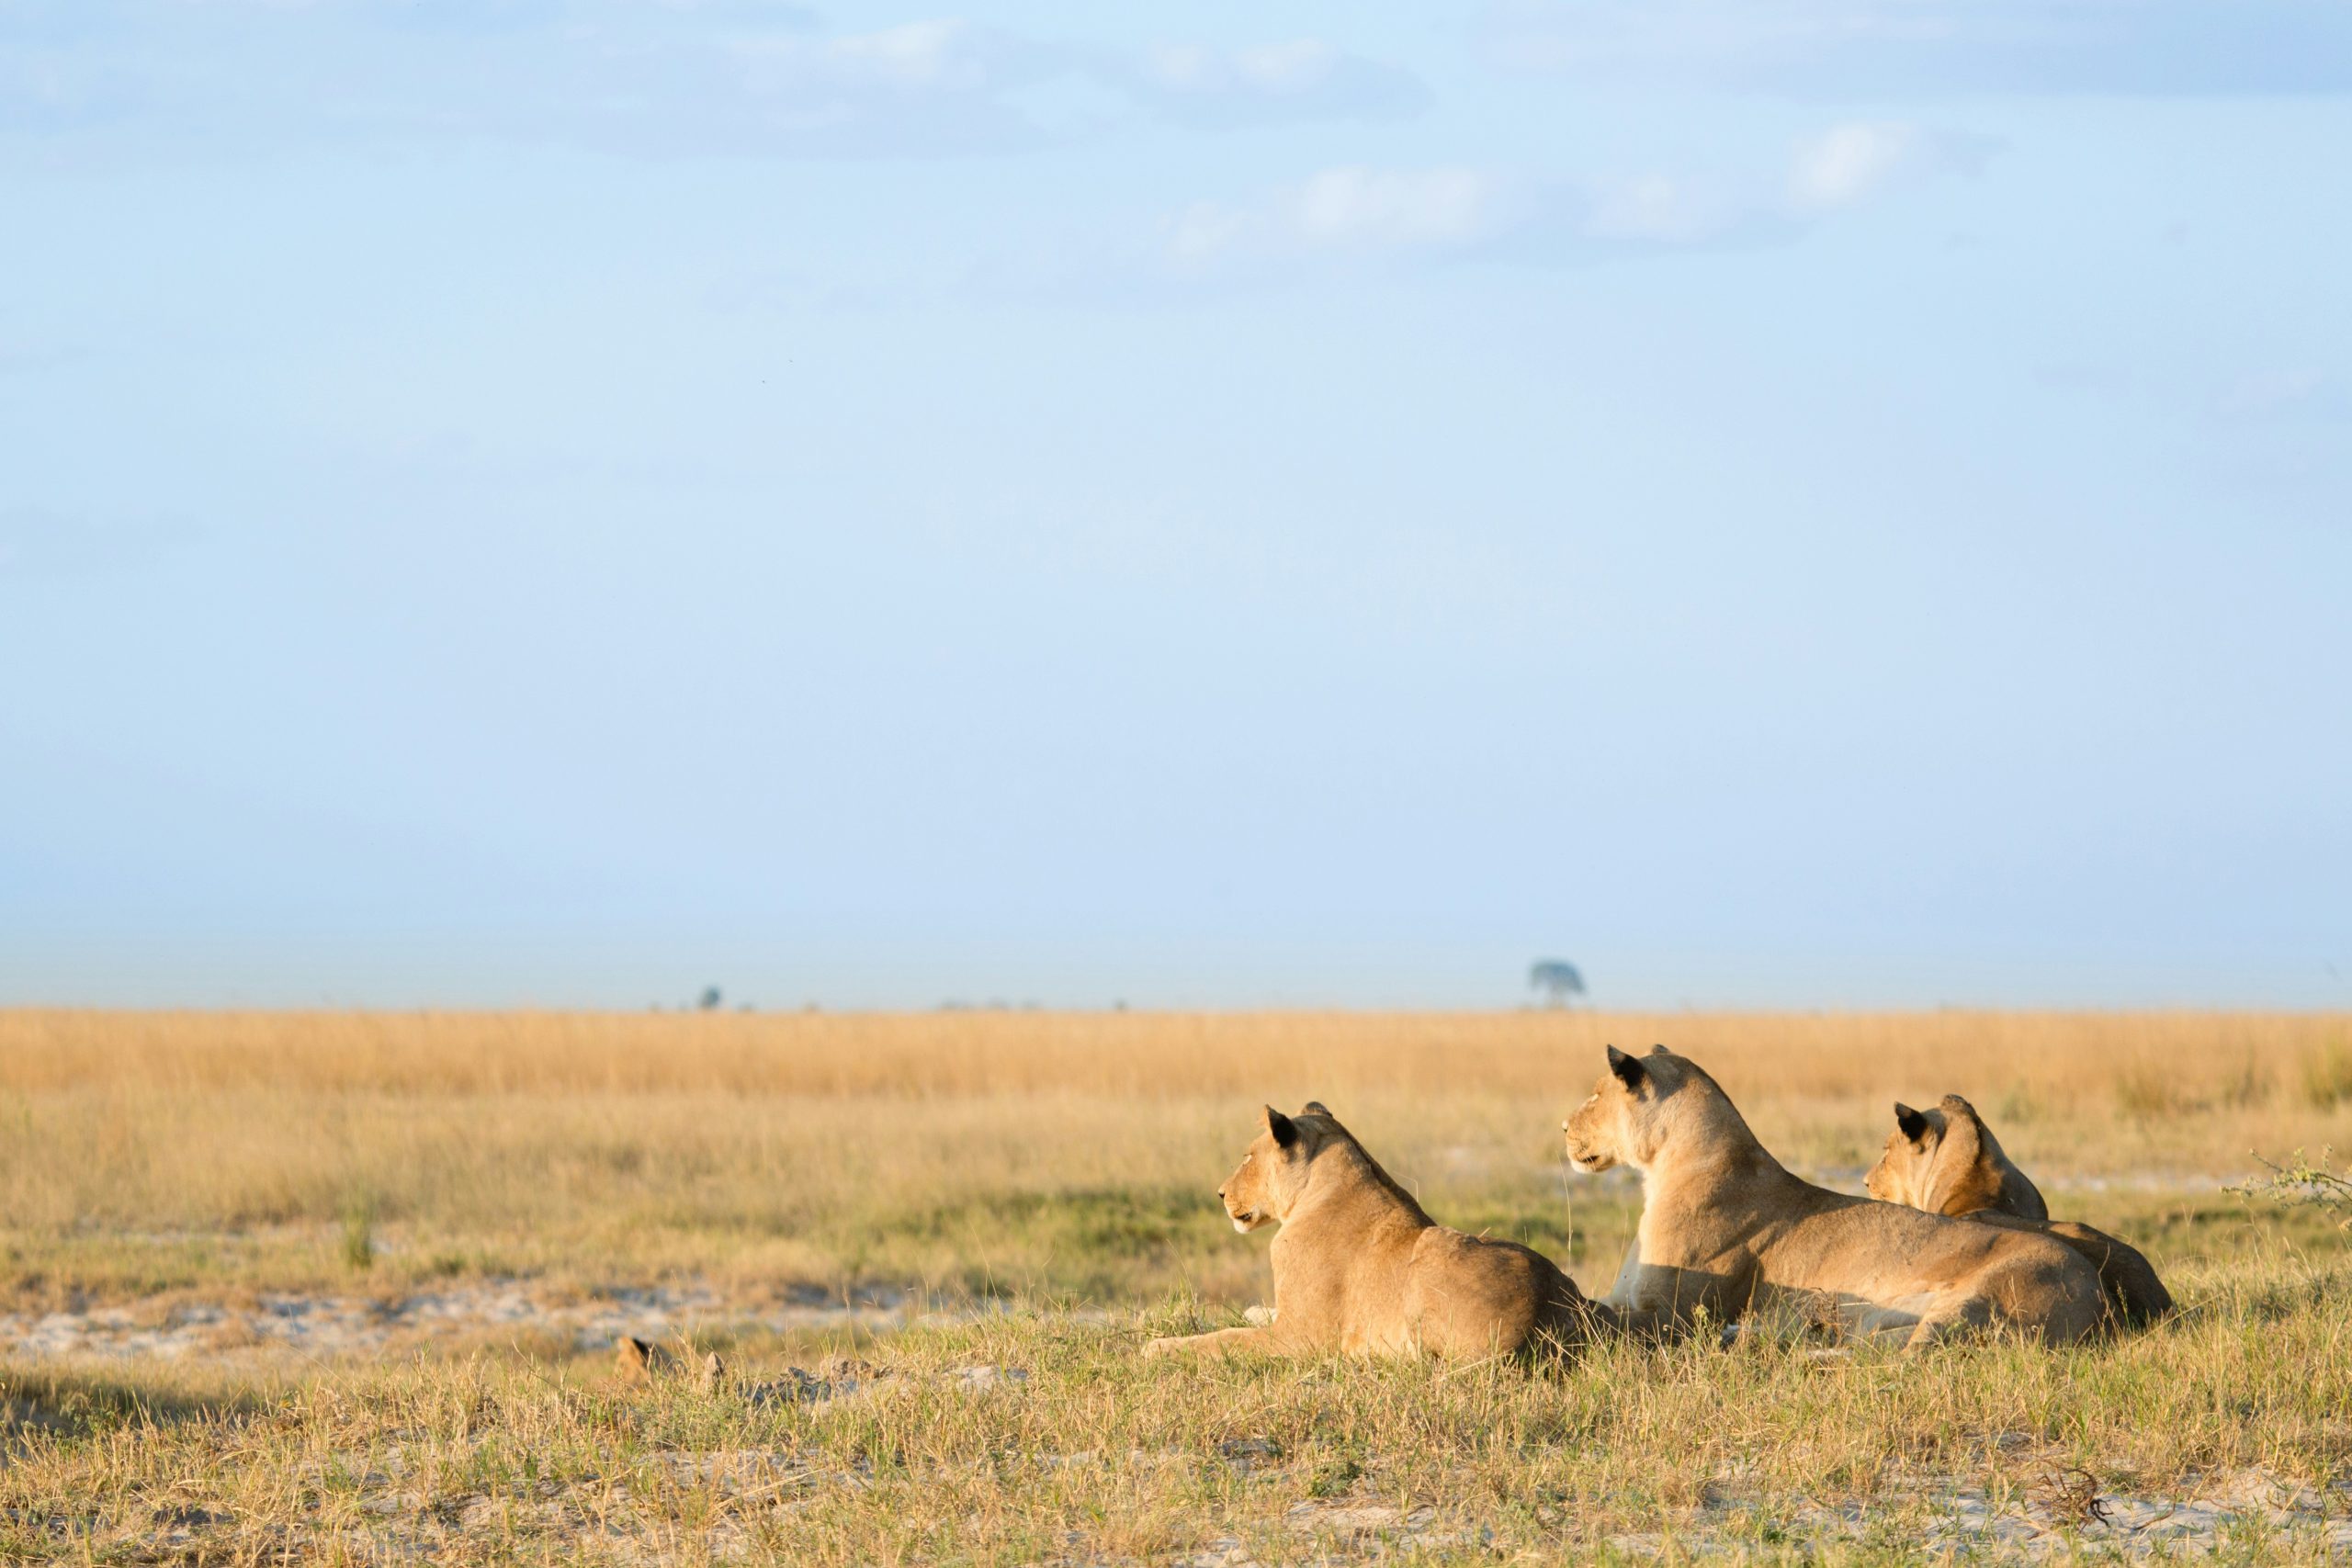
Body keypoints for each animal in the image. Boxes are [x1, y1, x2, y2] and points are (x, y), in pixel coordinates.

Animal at [1144, 1102, 1599, 1360]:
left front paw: (1158, 1347)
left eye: (1247, 1157)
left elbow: (1223, 1340)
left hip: (1433, 1252)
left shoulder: (1299, 1338)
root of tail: (1552, 1312)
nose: (1221, 1193)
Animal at [1564, 1047, 2105, 1347]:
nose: (1564, 1127)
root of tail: (2100, 1301)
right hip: (1883, 1319)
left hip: (1972, 1306)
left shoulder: (1672, 1316)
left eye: (1595, 1095)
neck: (1661, 1171)